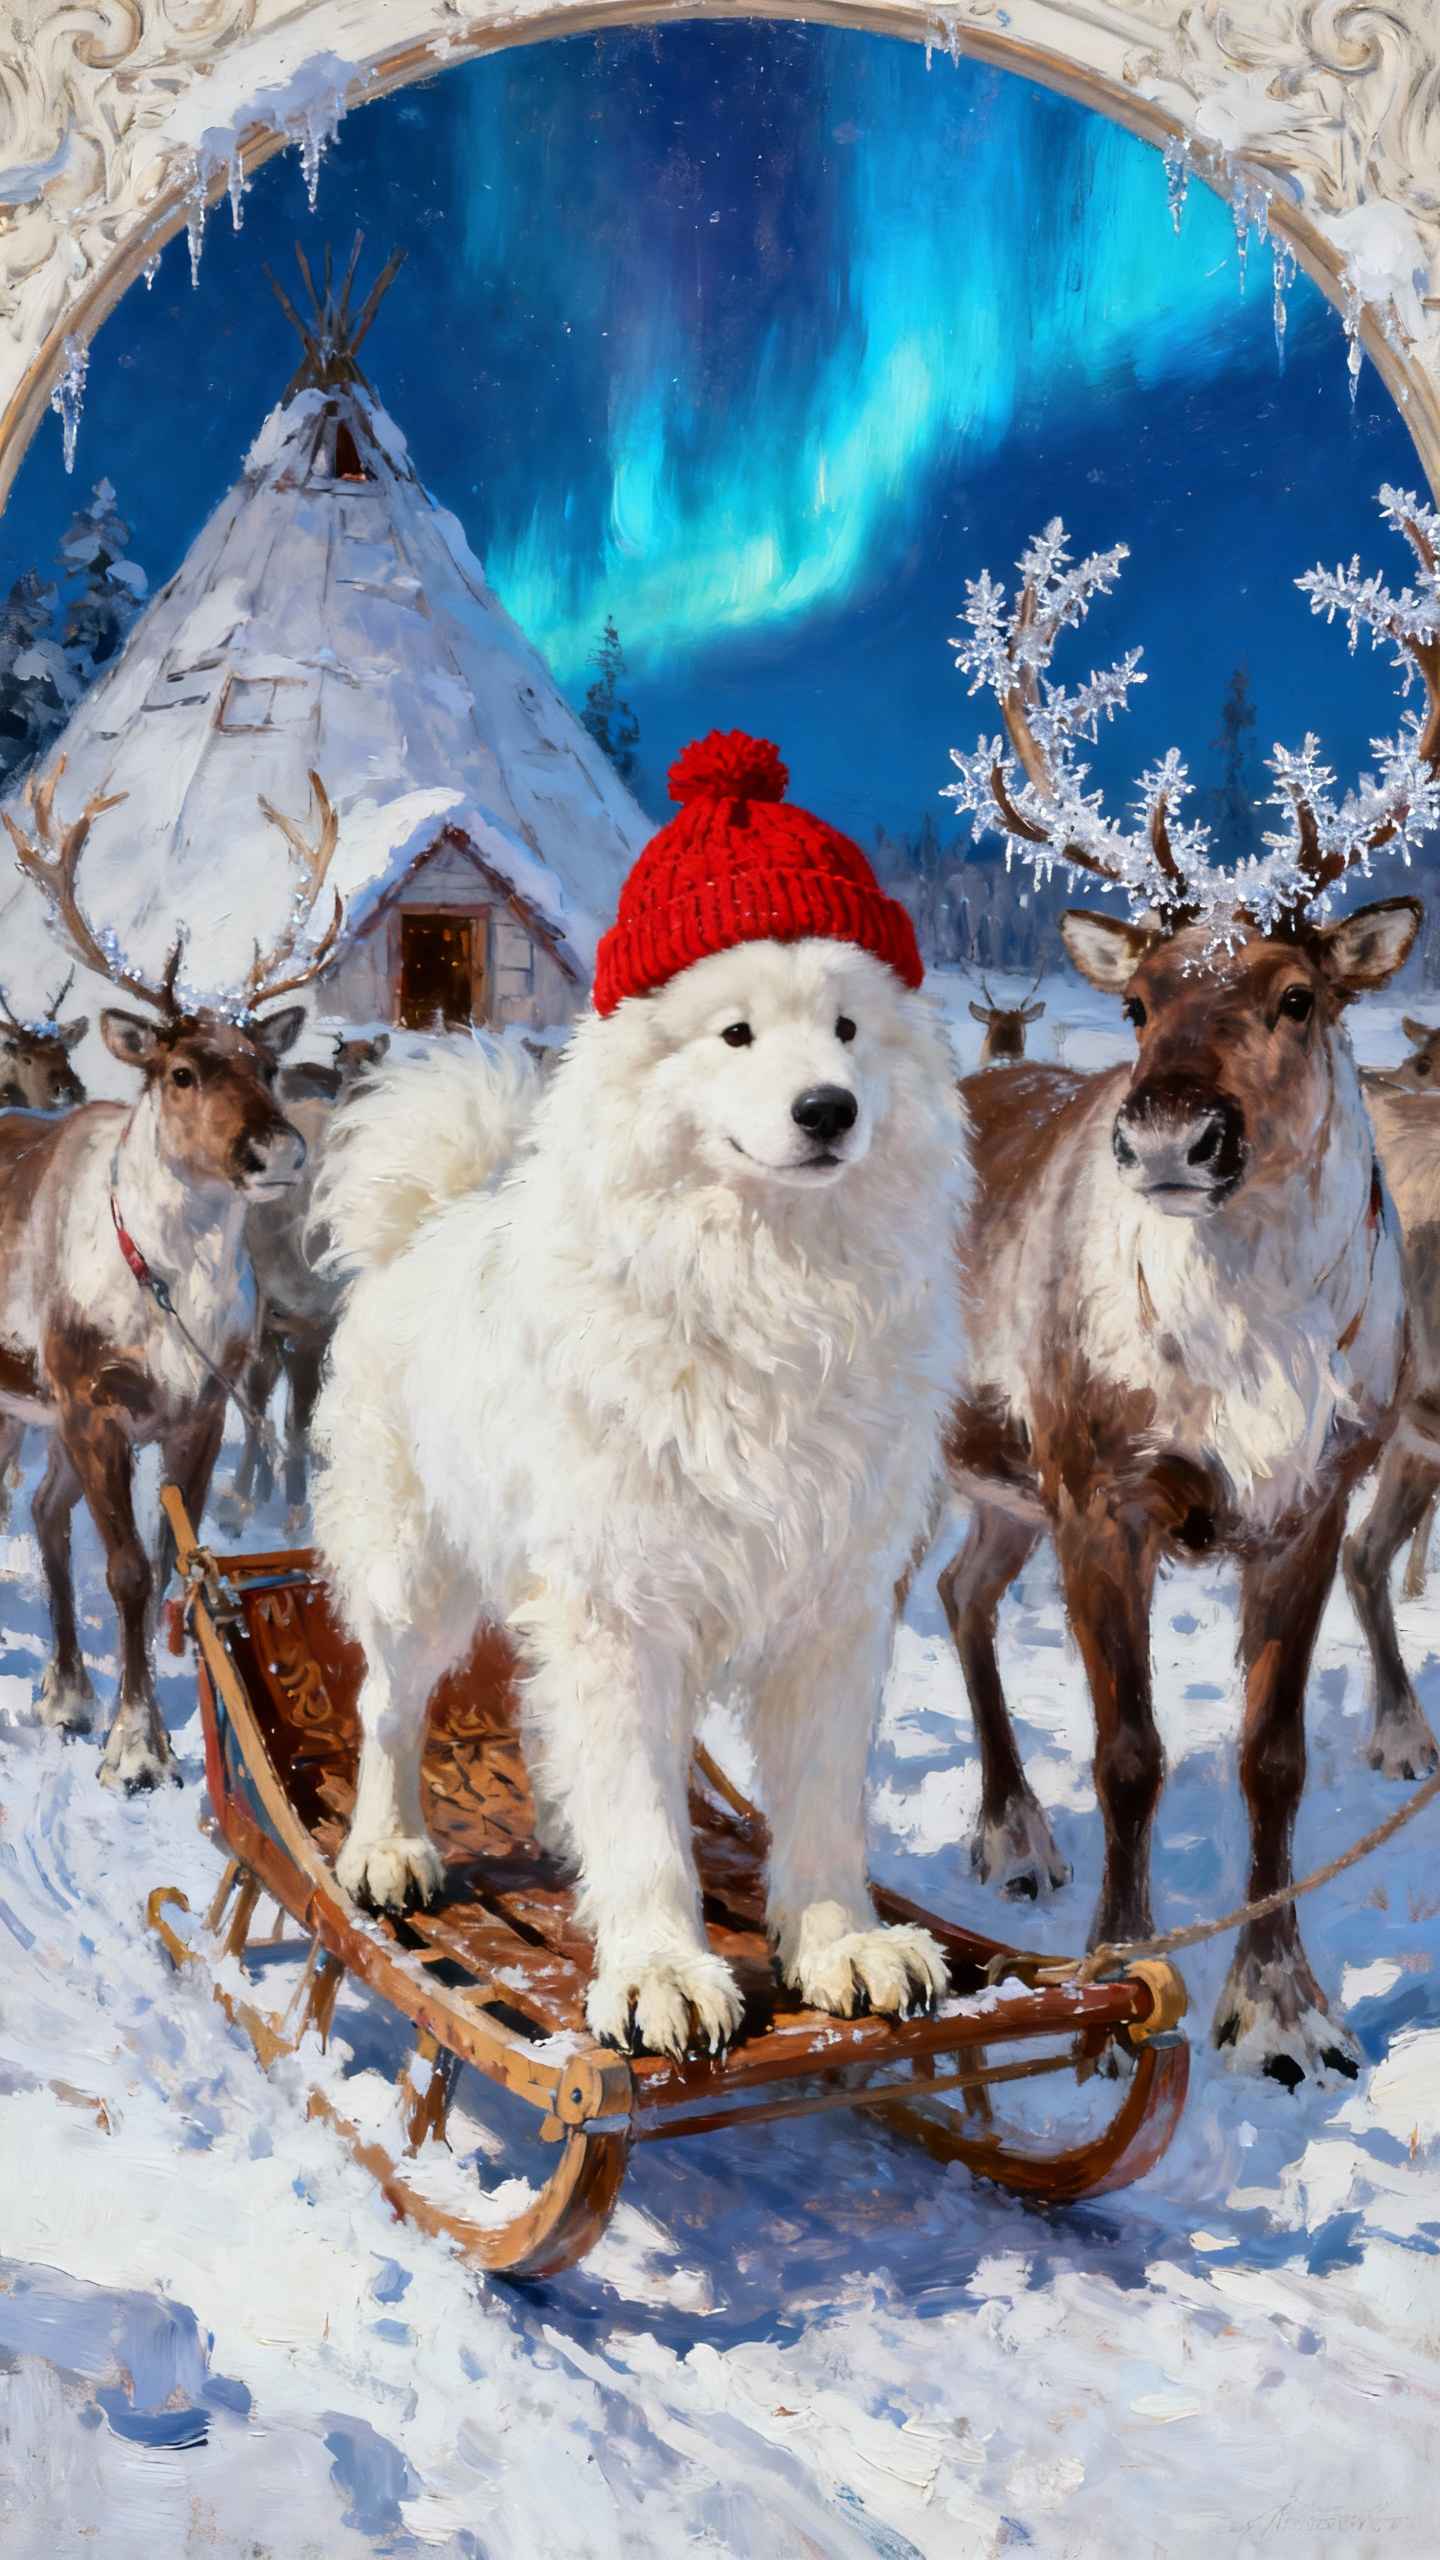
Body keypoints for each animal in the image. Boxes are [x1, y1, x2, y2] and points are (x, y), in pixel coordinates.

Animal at [0, 762, 342, 1790]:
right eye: (183, 1070)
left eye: (267, 1061)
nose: (279, 1150)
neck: (167, 1296)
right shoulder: (89, 1401)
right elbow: (128, 1568)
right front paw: (139, 1747)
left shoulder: (200, 1407)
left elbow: (172, 1560)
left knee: (43, 1510)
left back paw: (65, 1690)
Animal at [937, 489, 1440, 2089]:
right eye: (1138, 999)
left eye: (1299, 995)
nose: (1165, 1136)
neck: (1254, 1362)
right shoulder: (1106, 1486)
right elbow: (1133, 1752)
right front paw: (1111, 1988)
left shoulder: (1314, 1494)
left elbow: (1267, 1756)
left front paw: (1287, 2013)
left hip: (1001, 1478)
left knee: (966, 1592)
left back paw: (1012, 1835)